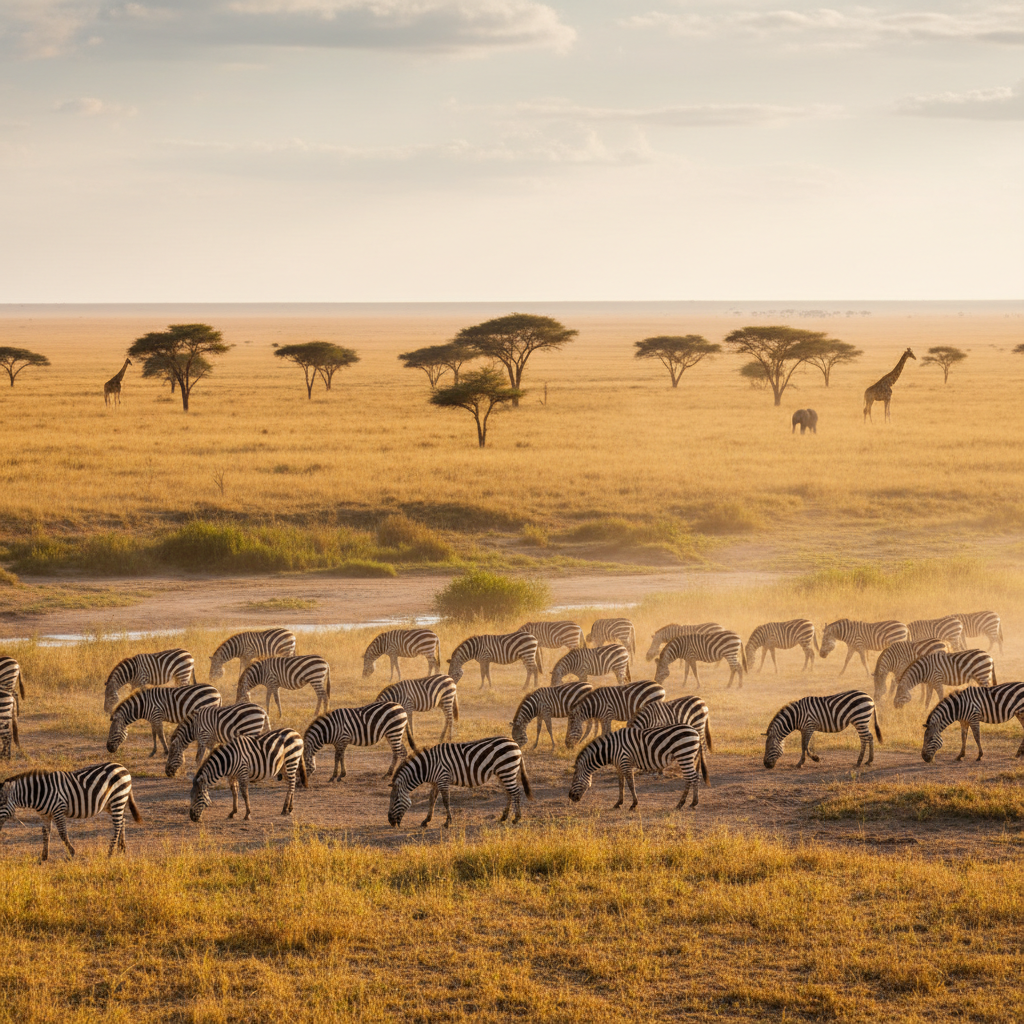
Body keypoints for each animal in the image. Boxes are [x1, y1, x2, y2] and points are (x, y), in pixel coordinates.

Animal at [0, 763, 141, 860]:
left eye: (2, 802)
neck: (39, 793)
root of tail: (122, 767)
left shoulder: (58, 810)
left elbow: (62, 833)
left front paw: (72, 852)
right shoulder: (45, 816)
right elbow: (45, 833)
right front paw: (44, 856)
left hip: (118, 798)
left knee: (117, 824)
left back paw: (110, 853)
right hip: (110, 804)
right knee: (122, 820)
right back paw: (122, 848)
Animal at [387, 737, 531, 828]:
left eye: (395, 801)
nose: (390, 821)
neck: (428, 766)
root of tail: (515, 744)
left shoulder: (443, 779)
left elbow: (446, 801)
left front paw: (447, 822)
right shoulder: (436, 782)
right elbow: (431, 799)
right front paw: (426, 820)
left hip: (507, 770)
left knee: (515, 792)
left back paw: (516, 818)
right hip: (503, 773)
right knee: (509, 793)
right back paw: (504, 817)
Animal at [568, 725, 708, 810]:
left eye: (574, 780)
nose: (570, 797)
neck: (611, 749)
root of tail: (695, 731)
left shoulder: (625, 762)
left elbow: (631, 784)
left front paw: (633, 804)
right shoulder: (619, 766)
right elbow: (621, 785)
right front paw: (618, 803)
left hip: (684, 755)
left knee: (694, 778)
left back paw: (691, 803)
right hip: (688, 757)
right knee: (689, 779)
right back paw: (683, 803)